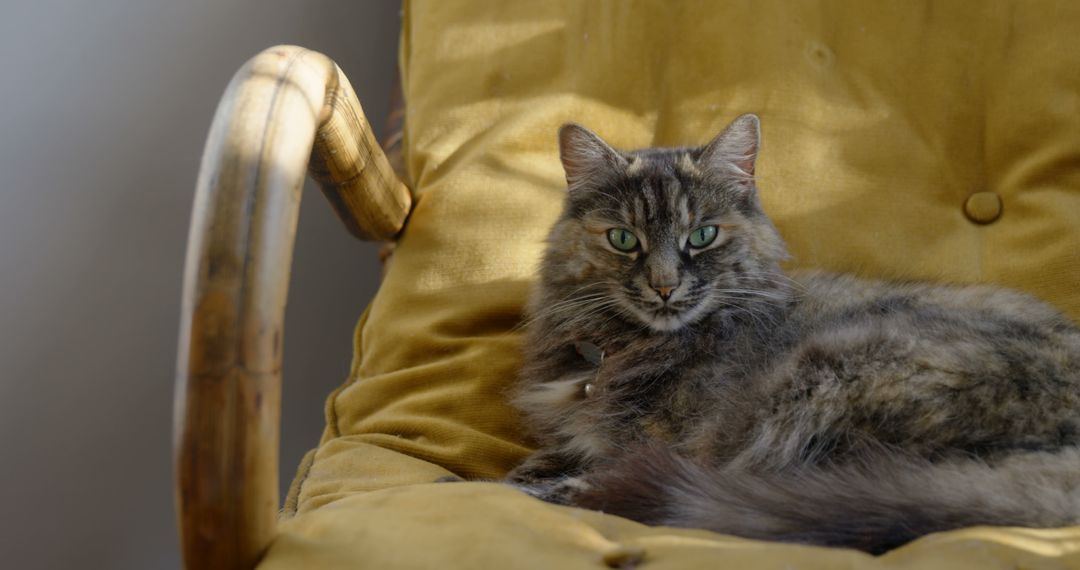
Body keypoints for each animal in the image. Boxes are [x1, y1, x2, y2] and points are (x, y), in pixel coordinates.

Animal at [509, 113, 1080, 552]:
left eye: (703, 235)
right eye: (624, 239)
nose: (665, 286)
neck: (623, 346)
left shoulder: (663, 441)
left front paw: (528, 481)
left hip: (822, 385)